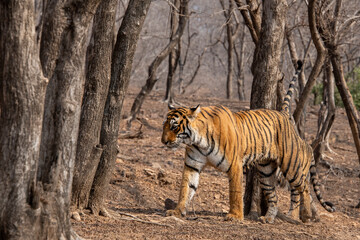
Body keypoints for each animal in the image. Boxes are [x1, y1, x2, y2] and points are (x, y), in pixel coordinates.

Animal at [161, 61, 334, 223]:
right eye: (164, 125)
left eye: (174, 126)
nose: (163, 142)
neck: (198, 140)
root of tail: (283, 114)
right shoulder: (192, 165)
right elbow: (185, 188)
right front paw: (177, 211)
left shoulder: (234, 165)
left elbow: (235, 191)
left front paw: (235, 216)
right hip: (265, 171)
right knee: (274, 196)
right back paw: (268, 218)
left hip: (291, 165)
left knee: (304, 187)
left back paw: (306, 215)